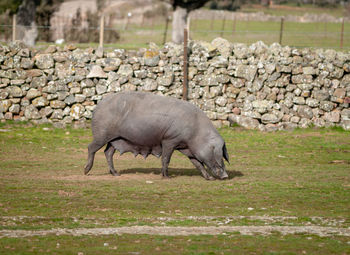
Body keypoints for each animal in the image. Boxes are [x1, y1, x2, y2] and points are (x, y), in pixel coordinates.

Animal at [85, 91, 230, 179]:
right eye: (217, 155)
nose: (225, 176)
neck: (196, 133)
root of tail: (98, 106)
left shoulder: (187, 148)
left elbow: (198, 163)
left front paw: (209, 178)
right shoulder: (169, 139)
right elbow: (166, 158)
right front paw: (167, 177)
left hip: (115, 139)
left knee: (108, 152)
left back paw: (116, 174)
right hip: (102, 134)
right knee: (91, 147)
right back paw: (86, 171)